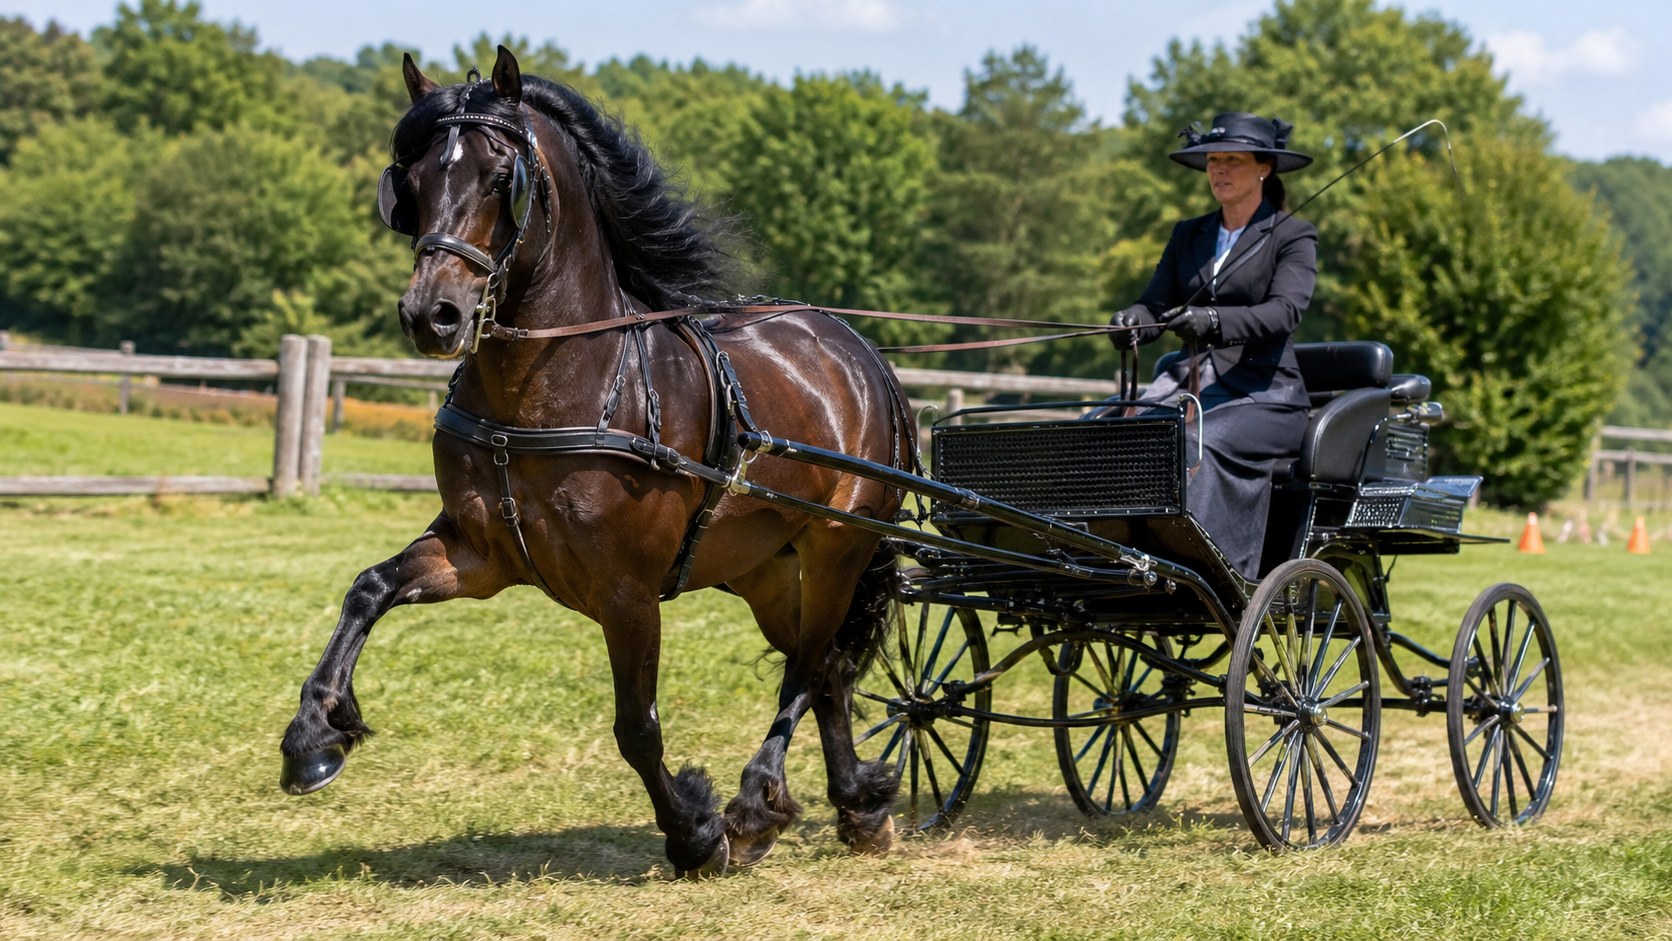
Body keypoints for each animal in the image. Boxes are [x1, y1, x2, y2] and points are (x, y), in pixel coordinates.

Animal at [278, 46, 916, 877]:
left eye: (500, 176)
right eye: (410, 183)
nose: (431, 314)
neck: (547, 390)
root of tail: (859, 351)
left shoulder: (627, 591)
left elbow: (636, 725)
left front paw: (695, 829)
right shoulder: (479, 552)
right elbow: (369, 587)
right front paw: (314, 737)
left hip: (838, 547)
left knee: (809, 668)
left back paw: (755, 803)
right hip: (766, 568)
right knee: (830, 669)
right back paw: (855, 806)